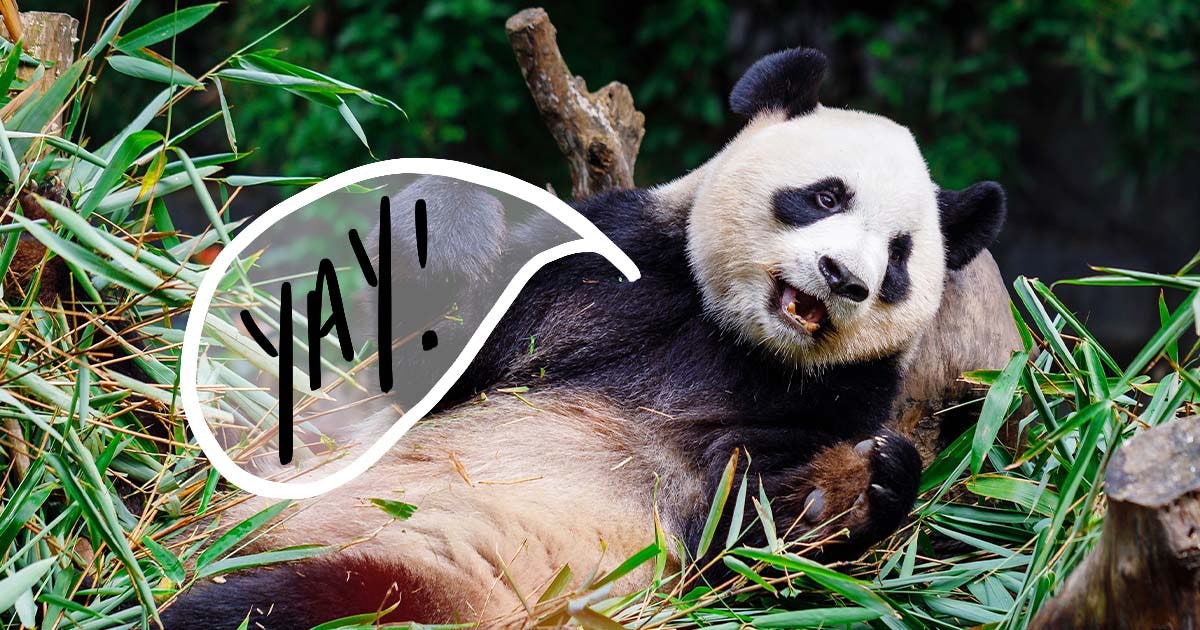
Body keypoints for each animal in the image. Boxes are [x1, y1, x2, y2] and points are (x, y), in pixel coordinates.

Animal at [163, 47, 1005, 628]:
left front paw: (856, 490)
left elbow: (746, 551)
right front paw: (448, 234)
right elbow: (424, 367)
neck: (731, 335)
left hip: (414, 585)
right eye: (826, 195)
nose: (842, 277)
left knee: (272, 607)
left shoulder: (835, 401)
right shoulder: (609, 267)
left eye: (899, 256)